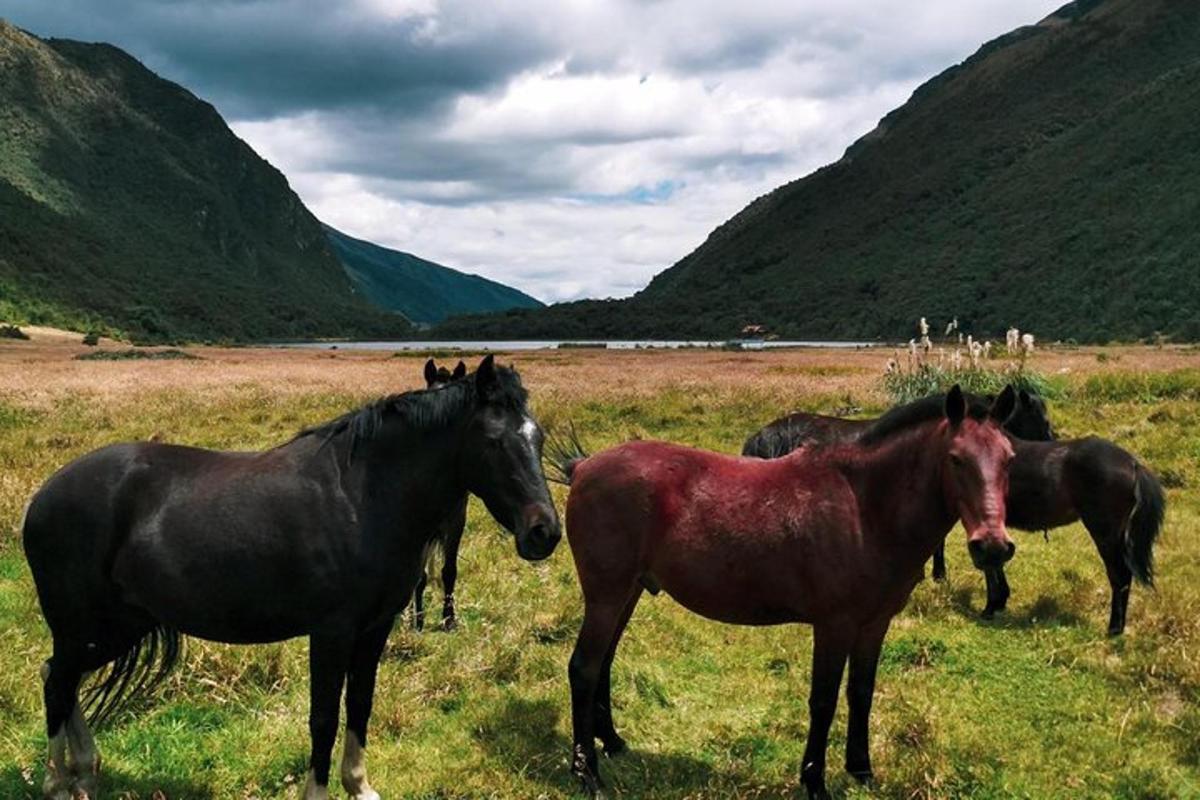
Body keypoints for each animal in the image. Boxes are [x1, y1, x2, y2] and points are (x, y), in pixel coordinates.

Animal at [23, 357, 556, 800]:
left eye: (538, 438)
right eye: (493, 442)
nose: (544, 532)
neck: (362, 498)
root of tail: (44, 496)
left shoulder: (375, 628)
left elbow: (359, 704)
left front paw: (359, 786)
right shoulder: (332, 632)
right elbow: (323, 717)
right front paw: (319, 792)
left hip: (116, 627)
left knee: (60, 678)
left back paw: (84, 773)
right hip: (87, 628)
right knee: (57, 683)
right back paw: (57, 783)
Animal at [549, 388, 1012, 800]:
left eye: (1009, 458)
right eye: (956, 459)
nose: (992, 546)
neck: (863, 507)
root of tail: (584, 467)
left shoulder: (874, 622)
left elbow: (861, 692)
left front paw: (861, 770)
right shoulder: (834, 625)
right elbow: (824, 700)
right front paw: (815, 782)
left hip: (628, 592)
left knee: (604, 664)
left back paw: (613, 743)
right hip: (607, 595)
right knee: (584, 668)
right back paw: (587, 772)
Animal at [739, 391, 1161, 633]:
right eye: (1039, 417)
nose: (1050, 439)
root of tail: (1134, 463)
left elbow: (984, 559)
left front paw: (989, 601)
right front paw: (992, 601)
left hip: (1105, 530)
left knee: (1120, 575)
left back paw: (1114, 629)